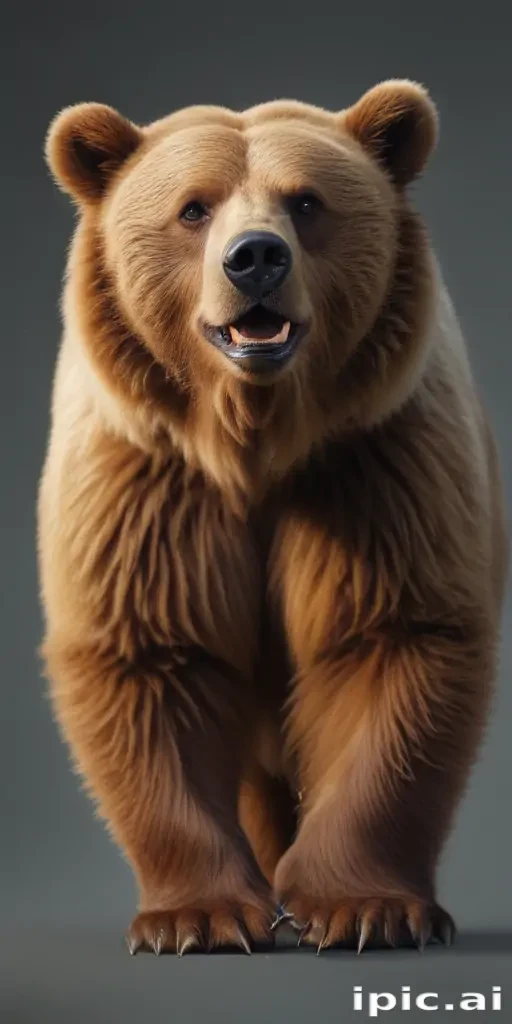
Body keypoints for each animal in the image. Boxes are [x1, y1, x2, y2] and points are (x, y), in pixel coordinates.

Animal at [39, 80, 508, 956]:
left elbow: (388, 645)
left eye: (307, 200)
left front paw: (365, 908)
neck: (254, 443)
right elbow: (151, 657)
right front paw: (197, 916)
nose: (255, 257)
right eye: (193, 207)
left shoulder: (375, 468)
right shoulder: (149, 489)